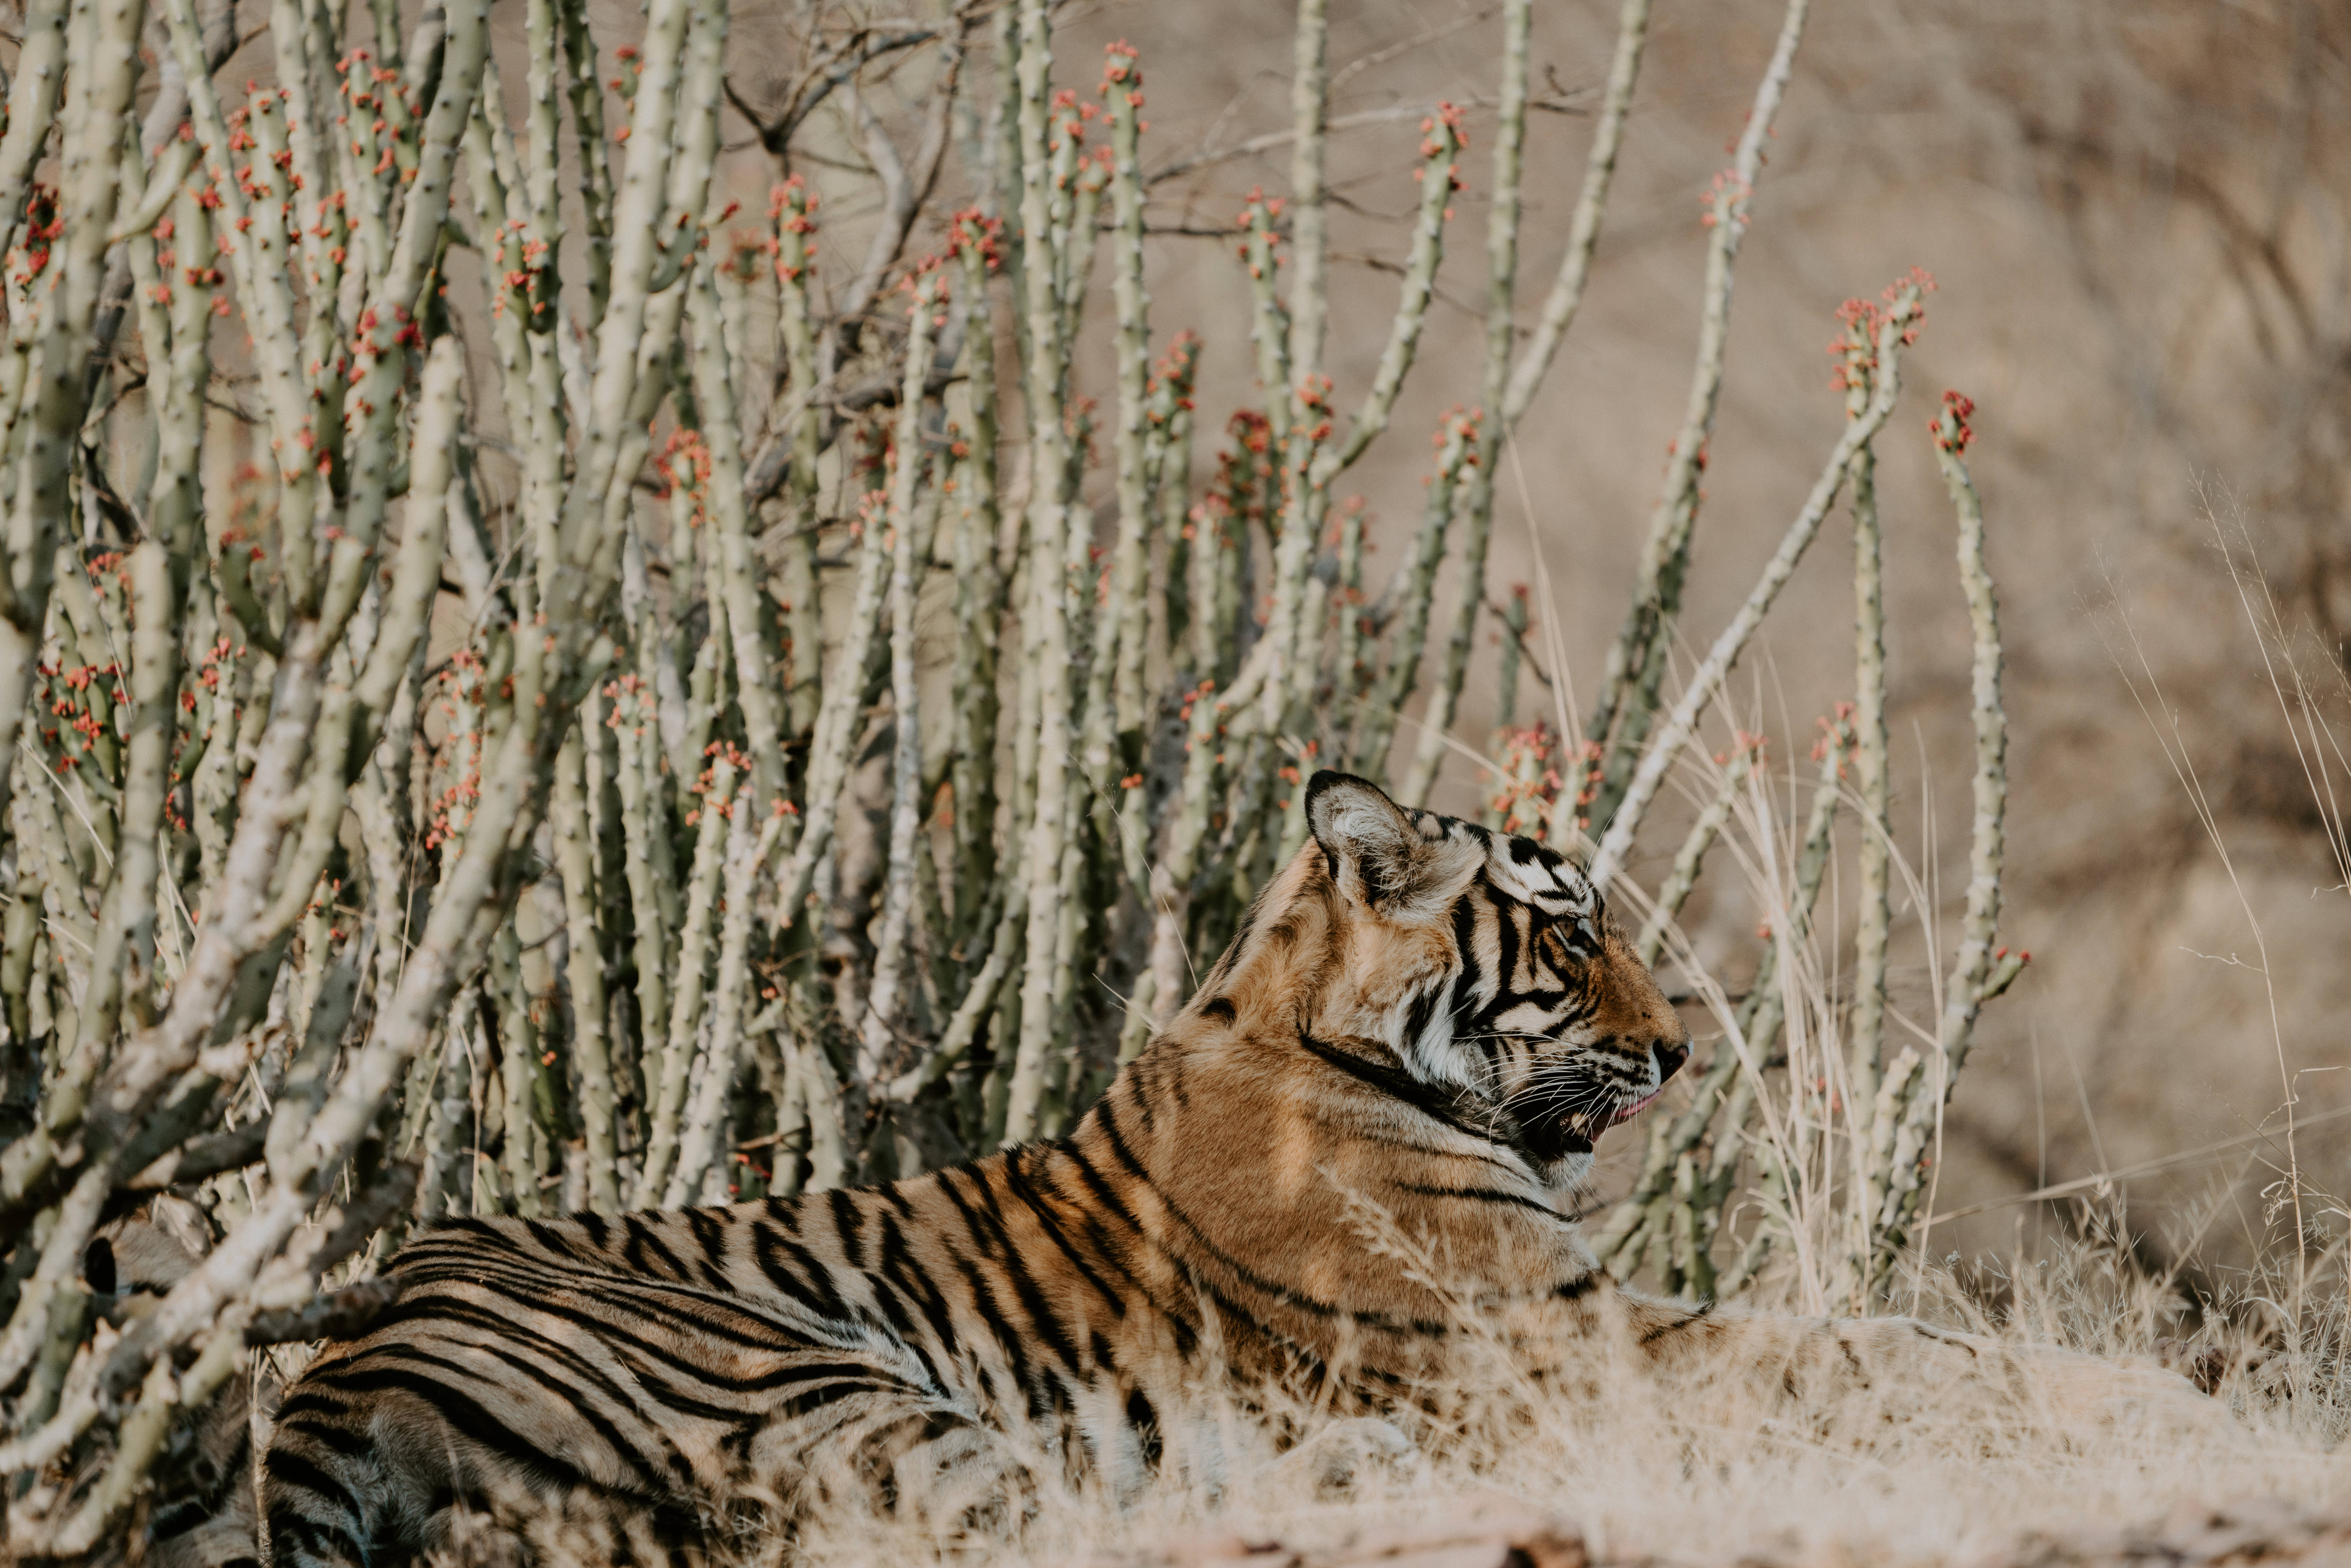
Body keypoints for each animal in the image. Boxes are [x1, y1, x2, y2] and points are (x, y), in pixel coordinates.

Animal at [255, 770, 2211, 1565]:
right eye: (1572, 931)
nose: (1680, 1050)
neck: (1321, 1031)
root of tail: (346, 1347)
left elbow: (1885, 1340)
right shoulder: (1568, 1334)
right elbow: (1875, 1344)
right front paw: (2149, 1401)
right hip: (818, 1380)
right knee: (1045, 1521)